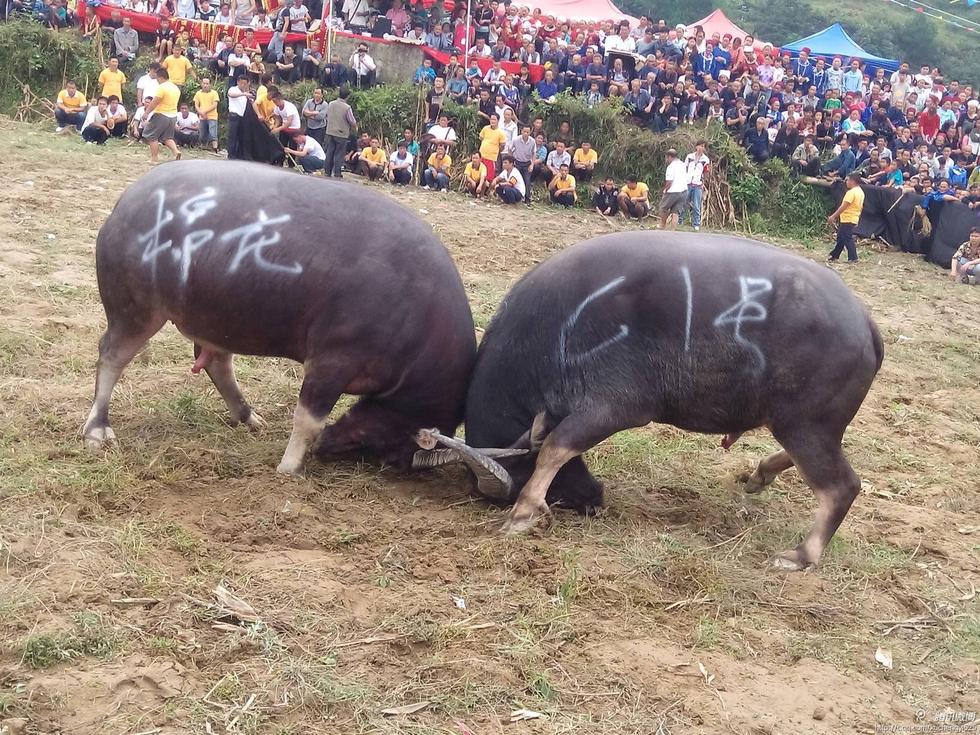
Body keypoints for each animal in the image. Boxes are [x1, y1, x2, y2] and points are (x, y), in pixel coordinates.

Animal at [84, 161, 474, 474]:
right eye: (393, 449)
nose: (326, 450)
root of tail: (125, 203)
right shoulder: (332, 361)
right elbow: (308, 419)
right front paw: (288, 467)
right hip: (134, 311)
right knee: (112, 356)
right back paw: (97, 430)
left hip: (216, 319)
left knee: (217, 363)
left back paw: (250, 418)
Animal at [418, 233, 884, 572]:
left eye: (512, 481)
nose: (593, 499)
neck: (555, 334)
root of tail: (865, 322)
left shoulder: (611, 407)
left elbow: (554, 446)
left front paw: (524, 511)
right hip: (797, 422)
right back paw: (760, 474)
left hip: (805, 425)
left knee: (841, 486)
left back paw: (802, 555)